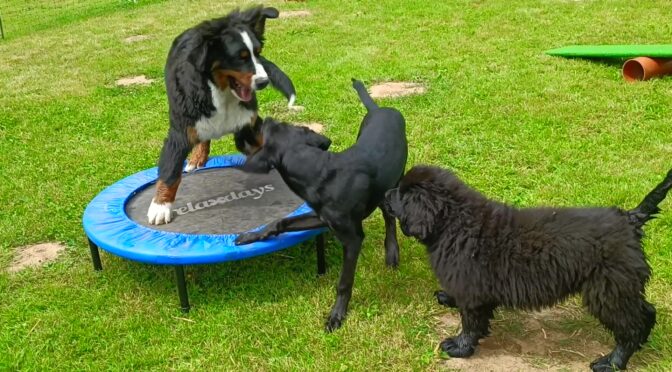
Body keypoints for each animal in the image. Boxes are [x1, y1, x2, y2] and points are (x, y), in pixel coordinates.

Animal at [148, 5, 298, 225]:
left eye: (257, 54)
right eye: (240, 57)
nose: (263, 82)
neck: (220, 93)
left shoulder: (249, 126)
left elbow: (265, 144)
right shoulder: (180, 134)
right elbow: (170, 172)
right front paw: (160, 206)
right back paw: (197, 157)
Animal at [234, 79, 406, 332]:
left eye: (271, 128)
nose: (266, 119)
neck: (319, 171)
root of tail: (379, 109)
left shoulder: (353, 239)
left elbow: (344, 282)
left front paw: (337, 315)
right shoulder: (320, 218)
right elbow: (280, 221)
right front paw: (252, 235)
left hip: (393, 183)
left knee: (389, 217)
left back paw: (392, 251)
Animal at [384, 166, 672, 372]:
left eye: (402, 194)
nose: (384, 194)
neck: (454, 222)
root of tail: (630, 218)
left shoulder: (472, 290)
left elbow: (471, 323)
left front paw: (459, 347)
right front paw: (448, 298)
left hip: (607, 291)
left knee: (630, 325)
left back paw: (612, 362)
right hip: (623, 286)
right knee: (646, 312)